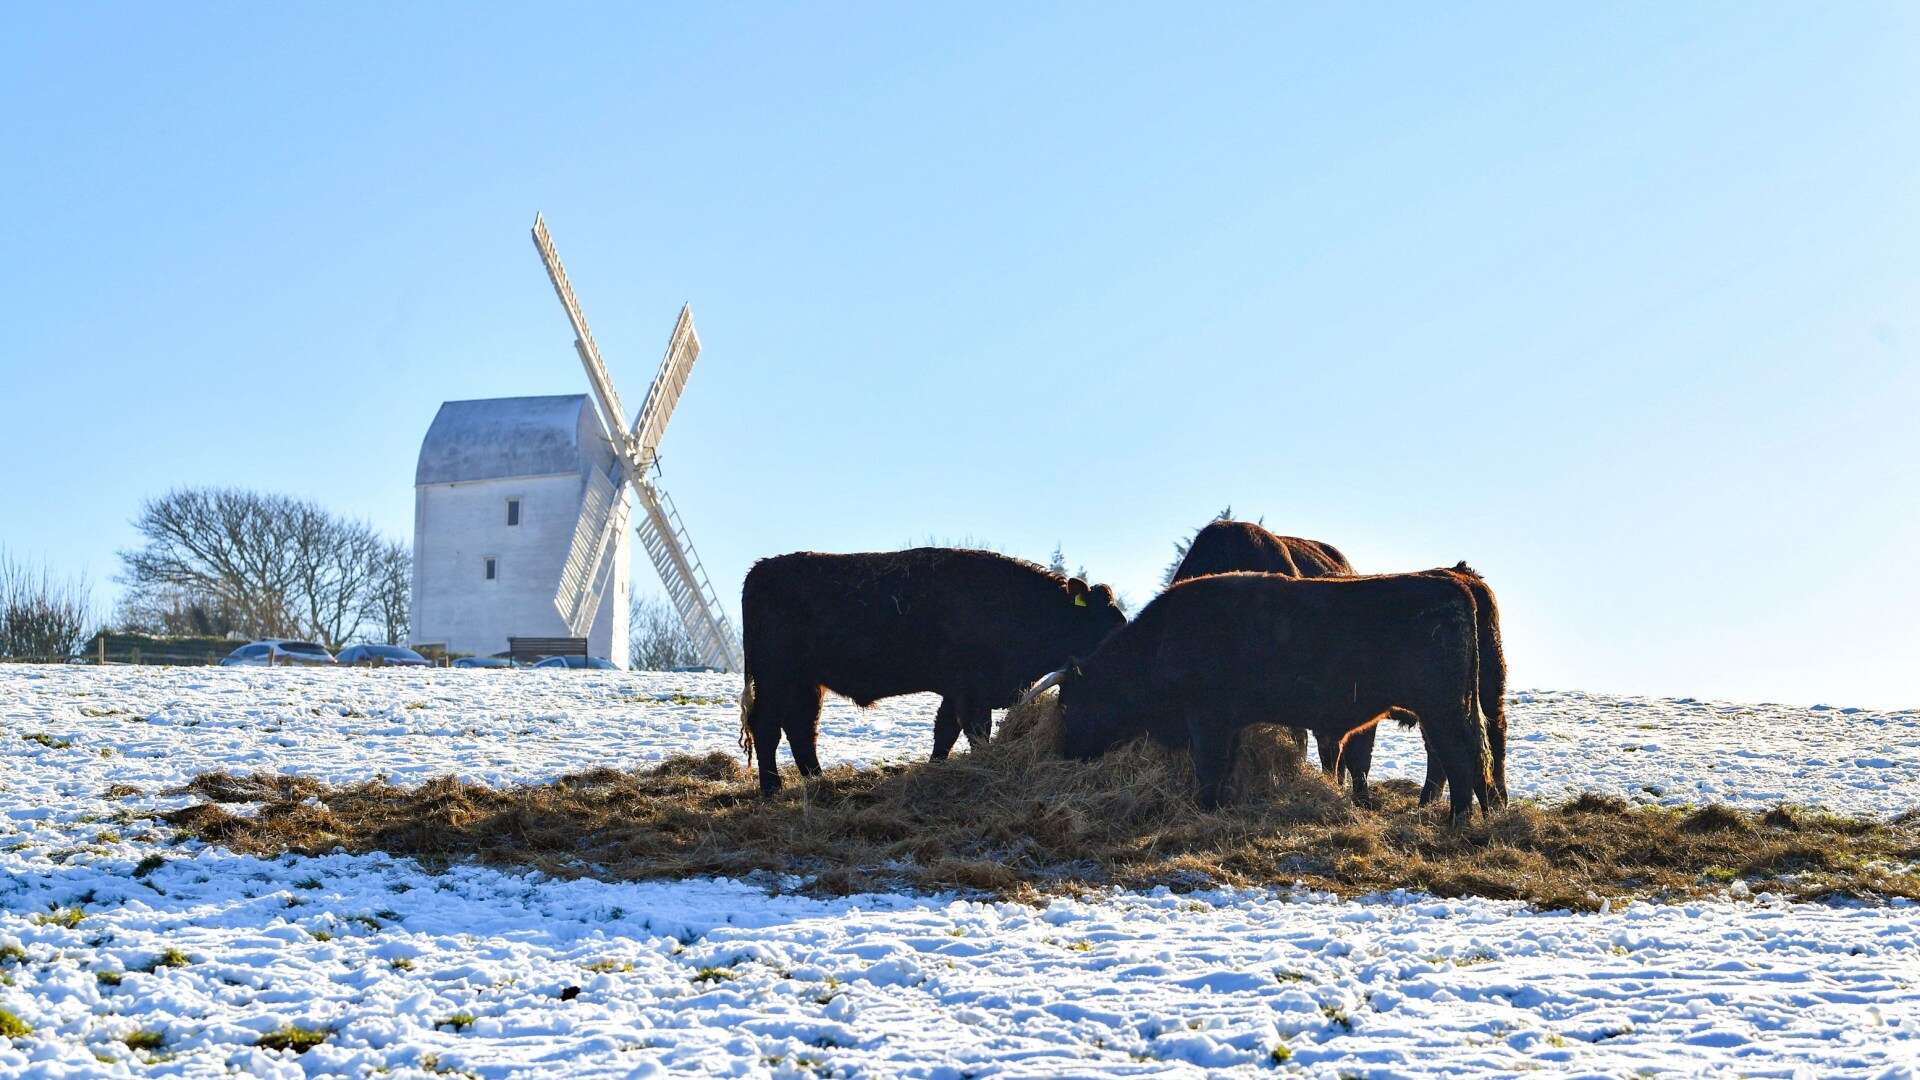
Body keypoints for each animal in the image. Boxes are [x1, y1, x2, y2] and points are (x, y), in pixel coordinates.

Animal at [733, 545, 1121, 791]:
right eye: (1105, 623)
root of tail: (759, 570)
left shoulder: (955, 692)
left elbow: (945, 732)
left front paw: (936, 769)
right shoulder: (972, 692)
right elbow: (975, 732)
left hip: (807, 684)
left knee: (801, 728)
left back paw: (816, 780)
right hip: (776, 679)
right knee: (768, 727)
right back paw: (772, 788)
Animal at [1036, 572, 1497, 814]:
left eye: (1069, 704)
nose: (1066, 753)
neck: (1162, 638)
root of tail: (1452, 581)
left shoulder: (1206, 719)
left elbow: (1208, 767)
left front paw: (1204, 808)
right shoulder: (1230, 723)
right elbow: (1226, 767)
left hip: (1441, 710)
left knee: (1459, 756)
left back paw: (1457, 822)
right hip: (1449, 710)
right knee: (1471, 755)